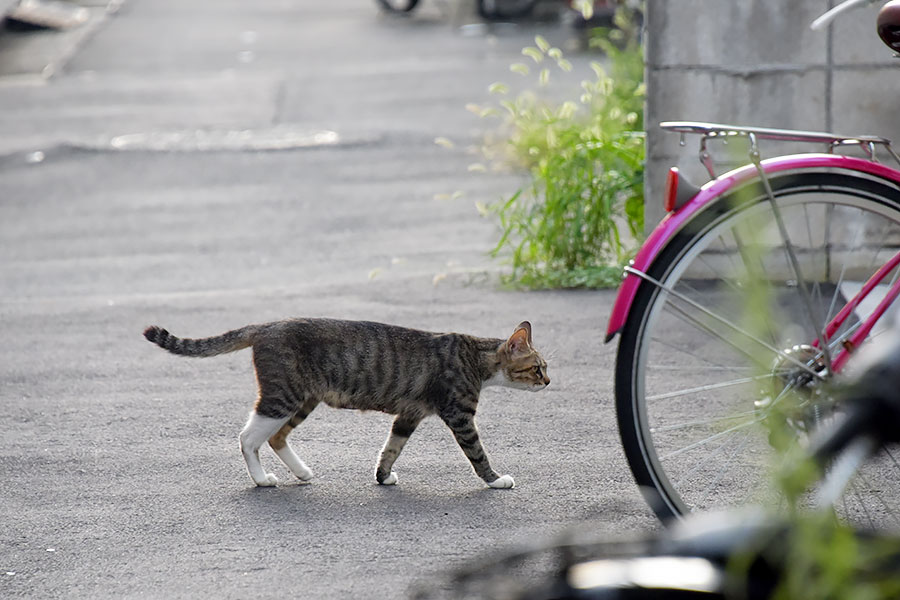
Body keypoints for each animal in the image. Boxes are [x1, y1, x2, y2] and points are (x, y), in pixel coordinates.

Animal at [143, 318, 548, 488]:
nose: (548, 381)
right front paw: (496, 480)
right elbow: (478, 453)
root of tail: (265, 325)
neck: (476, 357)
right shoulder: (459, 415)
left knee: (275, 438)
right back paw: (262, 480)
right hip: (282, 397)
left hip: (302, 400)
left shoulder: (409, 415)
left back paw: (302, 473)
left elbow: (391, 449)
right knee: (248, 438)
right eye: (538, 367)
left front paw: (383, 477)